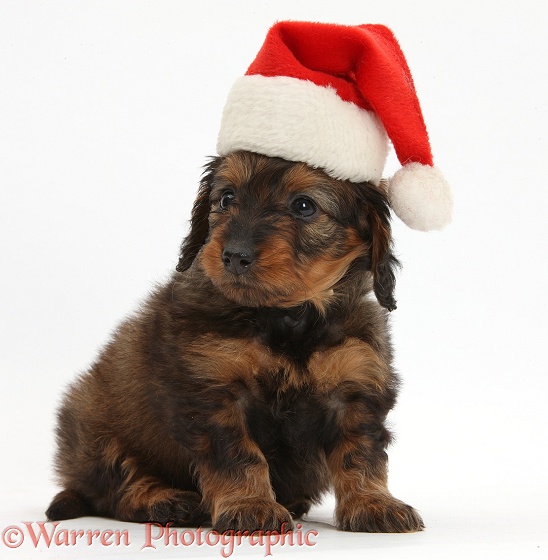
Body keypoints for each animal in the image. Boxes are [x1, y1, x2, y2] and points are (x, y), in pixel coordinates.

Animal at [46, 150, 424, 532]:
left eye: (304, 206)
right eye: (226, 198)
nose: (234, 256)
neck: (287, 320)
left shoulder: (354, 387)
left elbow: (360, 452)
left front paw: (373, 503)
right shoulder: (215, 392)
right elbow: (238, 455)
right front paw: (251, 505)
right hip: (92, 425)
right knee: (118, 485)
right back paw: (166, 501)